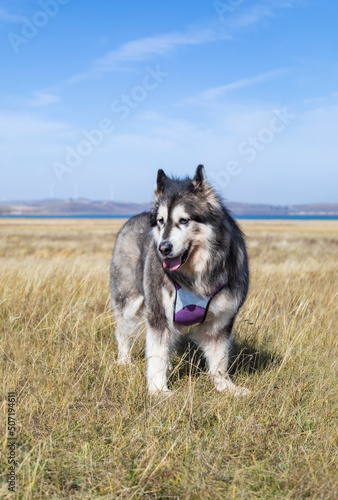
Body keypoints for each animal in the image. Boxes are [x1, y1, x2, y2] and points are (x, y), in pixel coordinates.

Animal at [109, 167, 250, 394]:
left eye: (184, 220)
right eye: (161, 221)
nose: (163, 248)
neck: (196, 274)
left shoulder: (221, 319)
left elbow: (219, 359)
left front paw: (226, 387)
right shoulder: (160, 314)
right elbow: (157, 355)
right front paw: (159, 391)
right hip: (128, 301)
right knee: (123, 332)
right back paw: (124, 362)